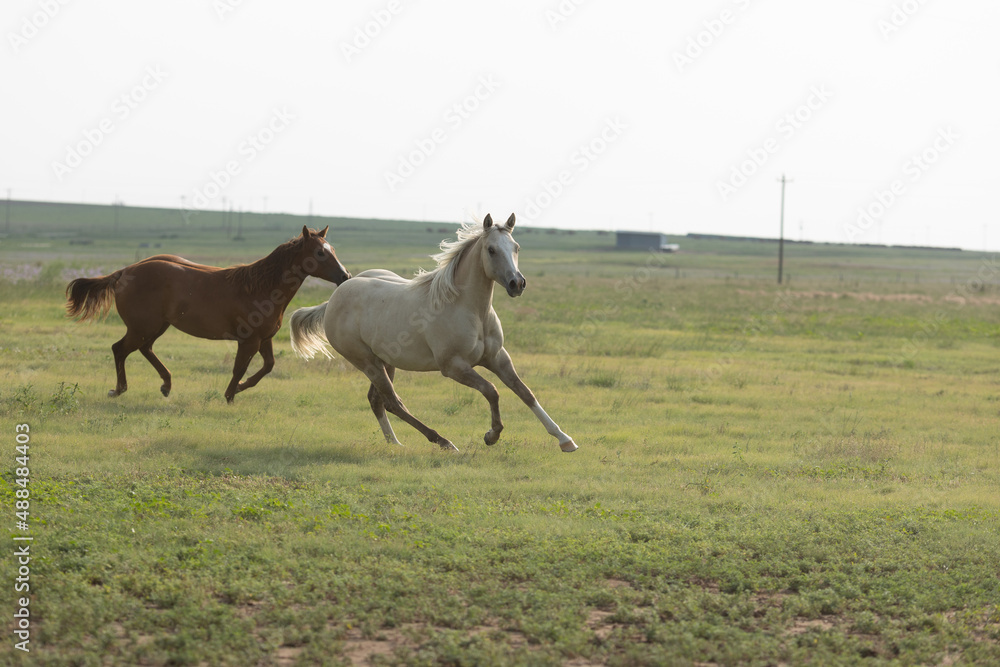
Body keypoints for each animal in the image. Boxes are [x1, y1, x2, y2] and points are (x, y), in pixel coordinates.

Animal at [66, 226, 350, 403]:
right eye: (320, 252)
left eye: (333, 250)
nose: (345, 276)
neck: (260, 288)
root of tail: (124, 272)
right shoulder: (248, 340)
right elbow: (239, 368)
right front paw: (231, 395)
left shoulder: (264, 339)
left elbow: (268, 366)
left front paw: (241, 387)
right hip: (142, 328)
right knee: (120, 349)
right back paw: (119, 390)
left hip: (156, 327)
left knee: (144, 349)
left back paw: (166, 385)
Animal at [289, 213, 577, 453]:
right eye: (491, 249)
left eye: (516, 247)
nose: (518, 284)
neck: (469, 309)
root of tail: (333, 299)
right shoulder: (454, 367)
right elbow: (492, 391)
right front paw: (491, 435)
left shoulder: (498, 358)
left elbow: (525, 392)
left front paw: (565, 440)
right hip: (367, 362)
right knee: (393, 401)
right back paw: (443, 441)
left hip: (385, 361)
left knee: (377, 400)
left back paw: (395, 442)